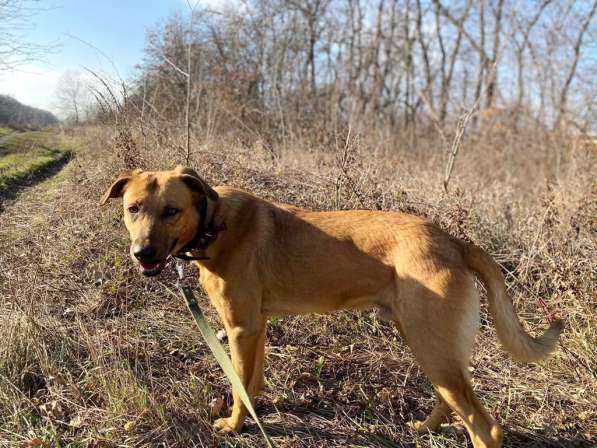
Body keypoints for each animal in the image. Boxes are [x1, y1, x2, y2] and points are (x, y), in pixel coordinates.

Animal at [100, 166, 560, 446]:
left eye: (171, 211)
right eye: (133, 209)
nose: (142, 254)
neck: (214, 225)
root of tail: (454, 241)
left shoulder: (239, 329)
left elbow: (237, 385)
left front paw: (234, 425)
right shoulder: (256, 327)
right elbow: (252, 382)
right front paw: (256, 414)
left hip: (431, 346)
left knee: (484, 428)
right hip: (430, 345)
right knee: (451, 400)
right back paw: (422, 428)